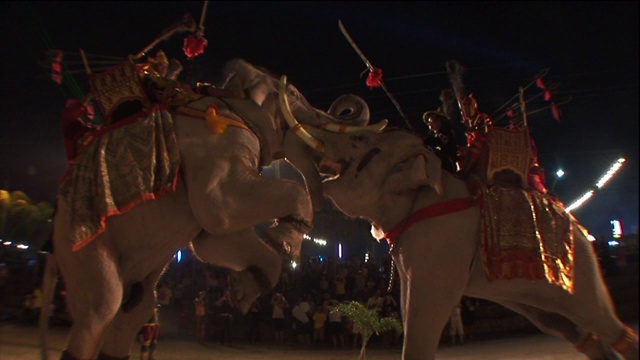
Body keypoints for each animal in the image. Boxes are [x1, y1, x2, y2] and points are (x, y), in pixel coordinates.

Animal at [42, 59, 388, 360]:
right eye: (292, 95)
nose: (347, 106)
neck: (229, 98)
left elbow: (213, 241)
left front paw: (242, 292)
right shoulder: (211, 144)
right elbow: (219, 209)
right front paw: (281, 244)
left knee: (134, 310)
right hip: (80, 244)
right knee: (102, 305)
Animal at [318, 129, 636, 360]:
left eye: (361, 140)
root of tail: (579, 227)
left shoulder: (442, 242)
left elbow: (424, 316)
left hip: (580, 269)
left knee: (602, 322)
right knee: (572, 330)